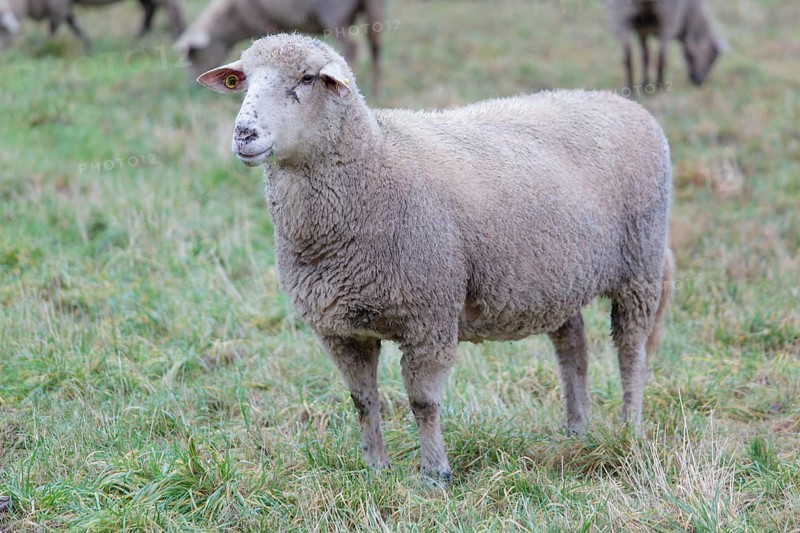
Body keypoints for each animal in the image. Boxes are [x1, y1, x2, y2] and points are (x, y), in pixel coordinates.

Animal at [0, 0, 185, 49]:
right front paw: (87, 44)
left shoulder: (57, 5)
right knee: (149, 10)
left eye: (3, 29)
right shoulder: (63, 6)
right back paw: (138, 36)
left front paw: (45, 45)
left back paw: (179, 34)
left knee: (173, 10)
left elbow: (55, 27)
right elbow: (73, 24)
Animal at [175, 0, 383, 94]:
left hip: (334, 14)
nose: (192, 86)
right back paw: (373, 88)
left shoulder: (265, 23)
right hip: (373, 8)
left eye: (193, 54)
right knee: (375, 46)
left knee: (352, 47)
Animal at [197, 34, 675, 480]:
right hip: (556, 275)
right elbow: (362, 401)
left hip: (641, 264)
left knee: (631, 350)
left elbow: (423, 402)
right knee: (572, 347)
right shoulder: (340, 329)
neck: (374, 166)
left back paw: (629, 428)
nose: (244, 134)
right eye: (243, 80)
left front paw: (436, 474)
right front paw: (375, 469)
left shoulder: (429, 315)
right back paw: (576, 430)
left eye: (307, 79)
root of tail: (621, 102)